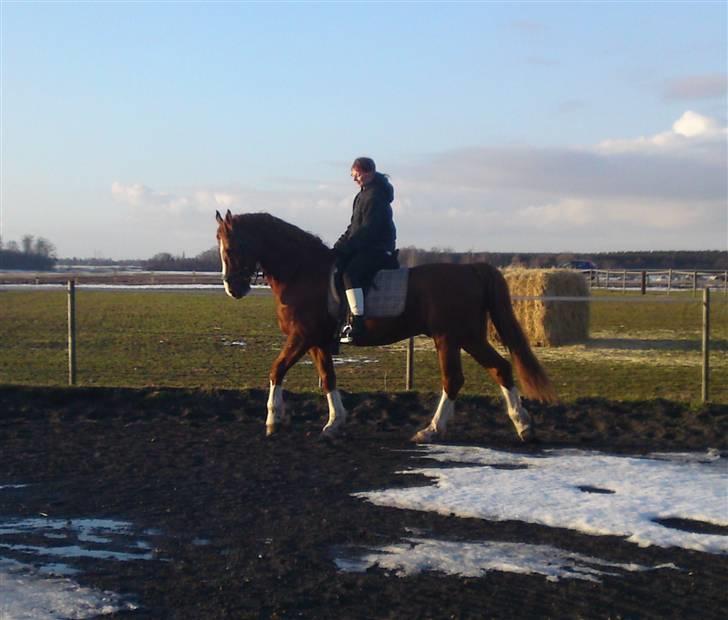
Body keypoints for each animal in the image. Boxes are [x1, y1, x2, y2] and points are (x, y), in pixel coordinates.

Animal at [213, 211, 556, 444]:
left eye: (230, 249)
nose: (233, 289)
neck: (302, 272)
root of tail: (471, 270)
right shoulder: (318, 342)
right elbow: (328, 379)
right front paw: (334, 424)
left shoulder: (302, 337)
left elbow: (277, 369)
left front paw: (272, 419)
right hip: (467, 337)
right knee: (500, 369)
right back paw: (523, 426)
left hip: (451, 337)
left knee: (454, 380)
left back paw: (432, 430)